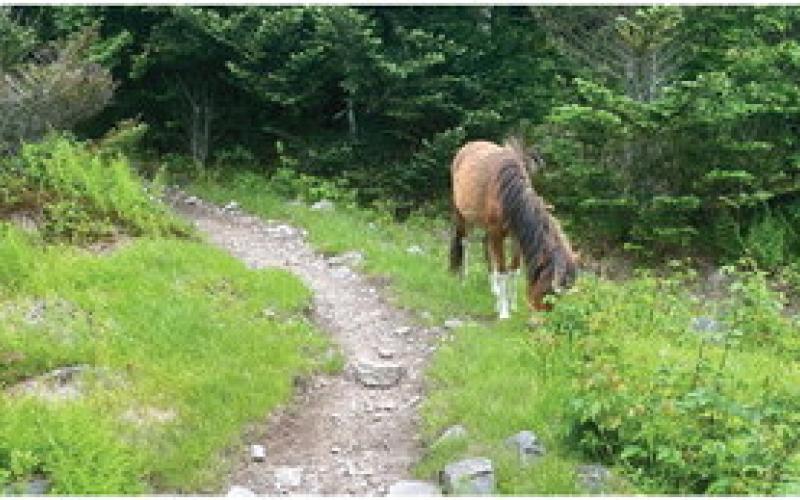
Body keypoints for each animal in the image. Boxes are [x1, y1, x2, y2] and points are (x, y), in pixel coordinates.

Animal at [449, 137, 579, 319]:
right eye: (548, 291)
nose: (543, 316)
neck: (509, 193)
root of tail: (469, 145)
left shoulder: (517, 236)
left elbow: (514, 270)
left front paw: (512, 305)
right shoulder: (497, 233)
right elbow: (503, 270)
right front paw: (504, 312)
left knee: (485, 245)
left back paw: (494, 288)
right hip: (461, 214)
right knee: (464, 242)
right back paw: (464, 279)